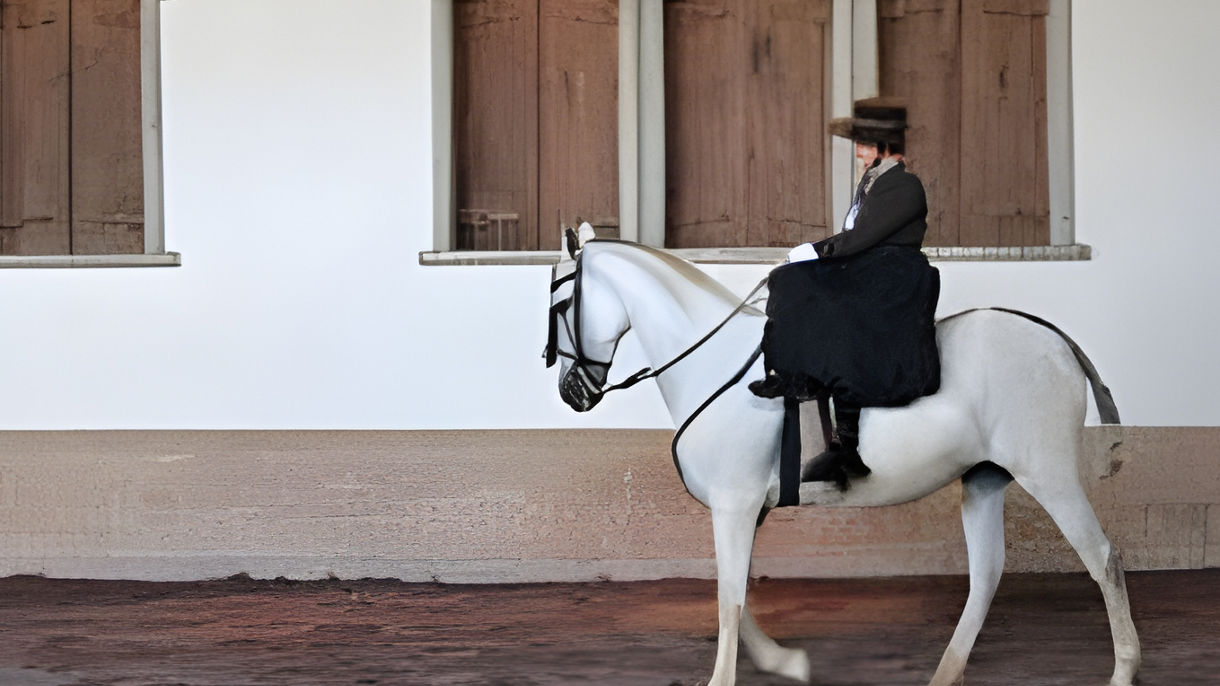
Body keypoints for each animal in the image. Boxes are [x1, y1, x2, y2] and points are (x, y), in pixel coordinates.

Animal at [544, 229, 1140, 686]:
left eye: (561, 305)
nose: (571, 392)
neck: (714, 364)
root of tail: (1055, 340)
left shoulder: (734, 505)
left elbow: (728, 597)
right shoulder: (748, 509)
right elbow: (741, 590)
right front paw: (782, 660)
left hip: (1049, 474)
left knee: (1102, 558)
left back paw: (1123, 671)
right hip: (984, 479)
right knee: (987, 574)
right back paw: (945, 674)